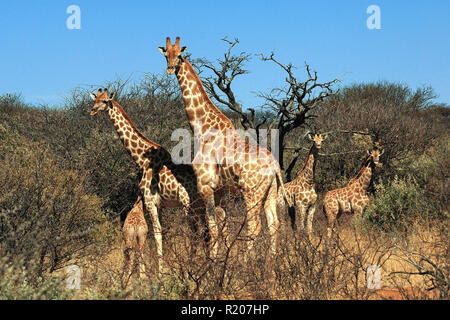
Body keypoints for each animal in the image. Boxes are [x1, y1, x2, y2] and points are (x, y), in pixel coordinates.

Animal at [90, 89, 206, 272]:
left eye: (105, 101)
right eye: (95, 99)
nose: (92, 110)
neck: (141, 158)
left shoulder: (149, 200)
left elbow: (156, 233)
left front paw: (160, 271)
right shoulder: (160, 204)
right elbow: (161, 231)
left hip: (188, 203)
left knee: (196, 231)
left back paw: (192, 267)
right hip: (199, 205)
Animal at [158, 37, 292, 258]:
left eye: (179, 55)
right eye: (165, 54)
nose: (169, 69)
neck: (202, 128)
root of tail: (275, 167)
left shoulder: (205, 186)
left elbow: (211, 227)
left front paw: (213, 261)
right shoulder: (220, 191)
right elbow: (223, 226)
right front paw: (222, 258)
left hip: (251, 192)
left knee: (254, 226)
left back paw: (247, 262)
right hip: (270, 192)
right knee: (274, 224)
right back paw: (271, 262)